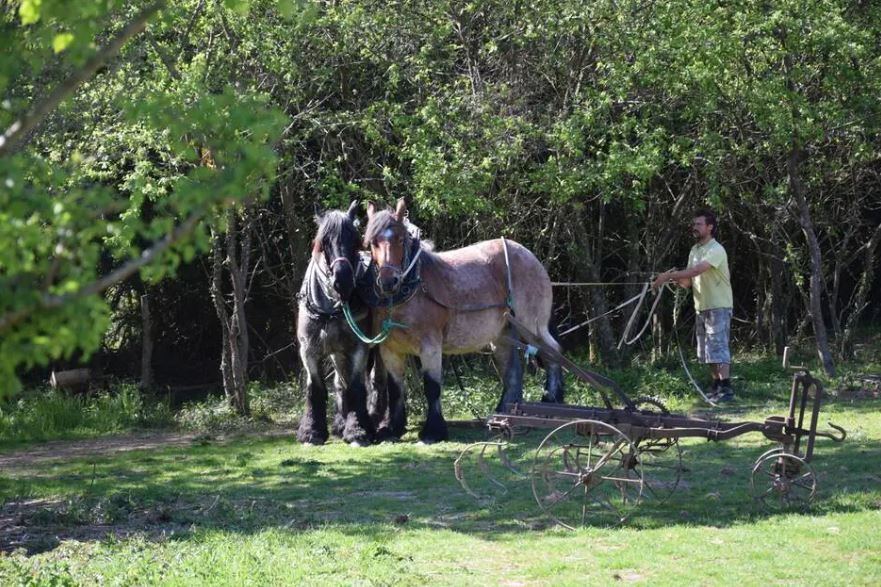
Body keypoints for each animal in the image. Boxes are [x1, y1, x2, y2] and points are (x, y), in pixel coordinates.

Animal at [298, 201, 372, 446]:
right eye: (323, 243)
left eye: (355, 240)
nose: (343, 280)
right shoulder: (308, 350)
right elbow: (316, 388)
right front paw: (312, 432)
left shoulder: (359, 347)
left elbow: (356, 386)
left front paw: (358, 430)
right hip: (336, 352)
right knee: (340, 383)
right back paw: (340, 424)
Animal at [362, 200, 564, 444]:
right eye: (372, 242)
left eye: (400, 239)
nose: (388, 281)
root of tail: (530, 257)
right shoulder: (390, 349)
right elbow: (396, 389)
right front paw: (393, 428)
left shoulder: (430, 346)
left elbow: (432, 387)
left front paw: (433, 431)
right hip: (503, 335)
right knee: (512, 373)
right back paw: (501, 415)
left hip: (532, 326)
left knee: (552, 353)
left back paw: (550, 403)